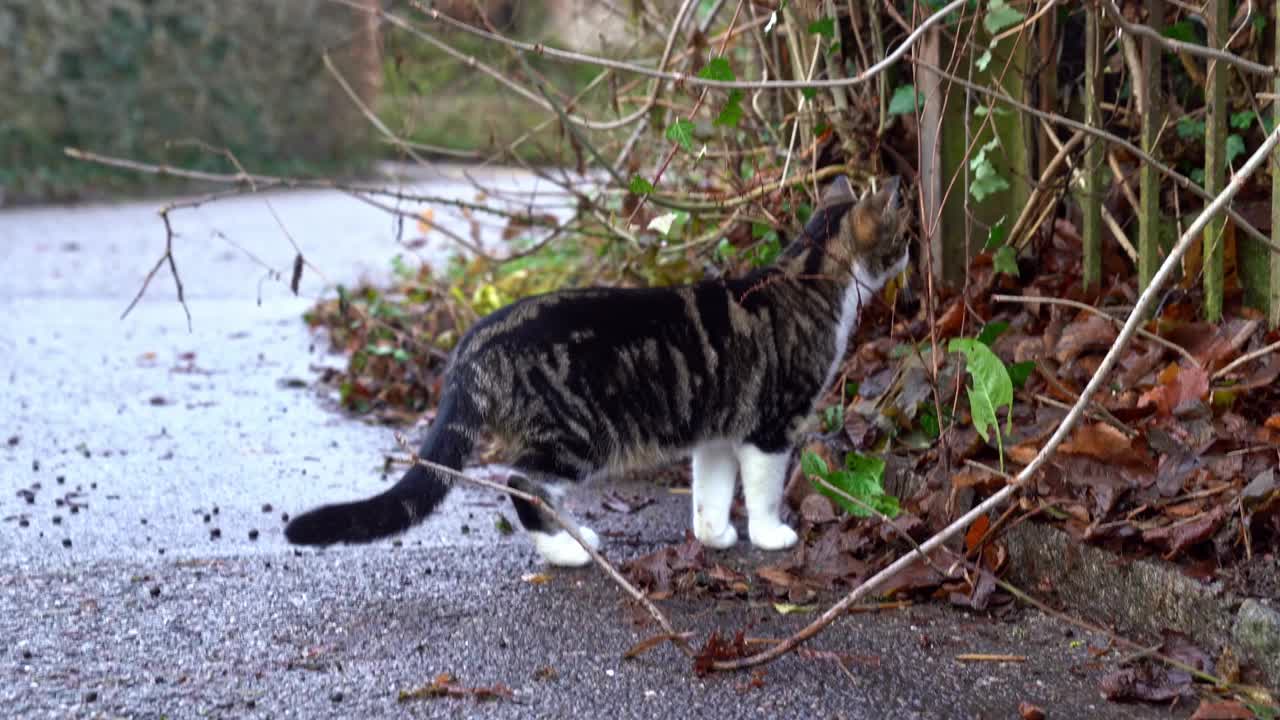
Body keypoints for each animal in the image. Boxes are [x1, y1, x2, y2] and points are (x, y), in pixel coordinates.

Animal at [288, 175, 911, 566]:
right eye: (899, 236)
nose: (913, 250)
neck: (810, 274)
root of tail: (474, 341)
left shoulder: (717, 426)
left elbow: (710, 489)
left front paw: (714, 536)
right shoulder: (772, 424)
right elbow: (763, 486)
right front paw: (769, 533)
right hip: (581, 433)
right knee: (520, 482)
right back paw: (567, 550)